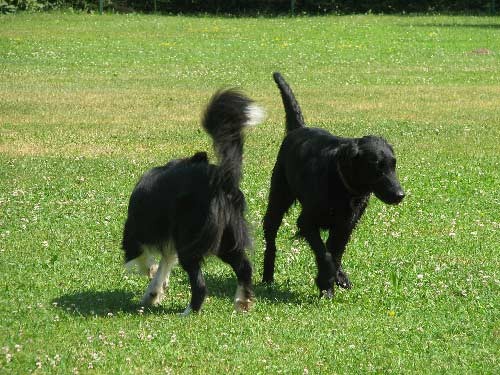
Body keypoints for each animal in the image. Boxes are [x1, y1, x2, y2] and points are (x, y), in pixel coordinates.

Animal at [121, 89, 266, 316]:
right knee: (244, 267)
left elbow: (142, 258)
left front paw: (150, 274)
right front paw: (154, 292)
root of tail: (220, 182)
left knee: (200, 284)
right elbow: (164, 265)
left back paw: (189, 312)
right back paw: (242, 302)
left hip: (192, 241)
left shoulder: (135, 232)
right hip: (227, 239)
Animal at [264, 72, 404, 296]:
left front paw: (337, 278)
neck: (341, 183)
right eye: (376, 167)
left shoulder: (346, 225)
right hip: (278, 200)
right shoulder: (306, 221)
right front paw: (326, 282)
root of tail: (299, 129)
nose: (400, 195)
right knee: (270, 242)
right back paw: (267, 276)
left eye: (393, 164)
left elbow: (335, 252)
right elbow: (326, 255)